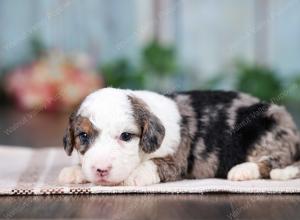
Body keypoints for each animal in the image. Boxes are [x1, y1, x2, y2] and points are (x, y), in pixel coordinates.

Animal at [58, 87, 300, 186]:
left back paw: (242, 171)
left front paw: (135, 176)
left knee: (274, 161)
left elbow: (154, 164)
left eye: (126, 136)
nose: (101, 170)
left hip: (266, 132)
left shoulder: (177, 160)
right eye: (83, 136)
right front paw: (74, 172)